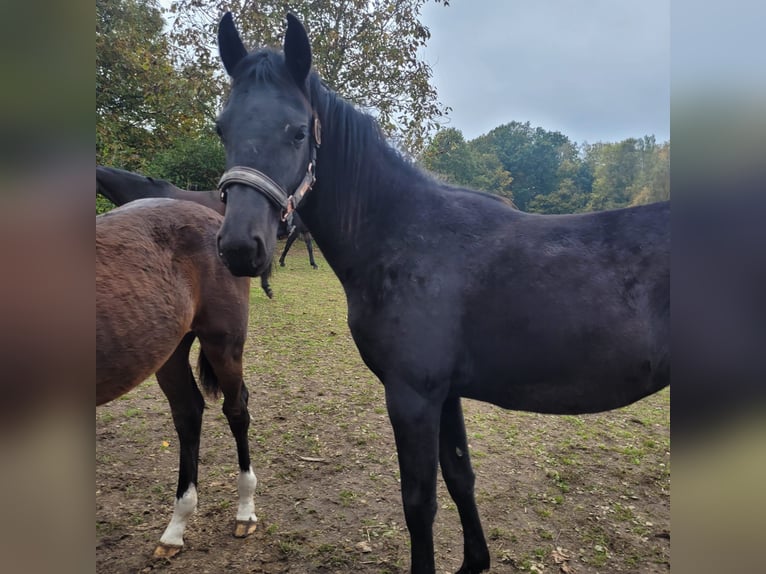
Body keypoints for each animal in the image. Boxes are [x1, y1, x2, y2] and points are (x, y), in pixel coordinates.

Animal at [97, 198, 260, 560]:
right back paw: (175, 529)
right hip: (169, 350)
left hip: (222, 343)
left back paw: (244, 510)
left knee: (236, 411)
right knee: (188, 413)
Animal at [213, 13, 668, 574]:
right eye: (222, 128)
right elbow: (459, 477)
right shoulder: (445, 394)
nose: (240, 246)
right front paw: (474, 561)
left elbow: (419, 501)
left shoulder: (414, 395)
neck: (404, 236)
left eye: (298, 131)